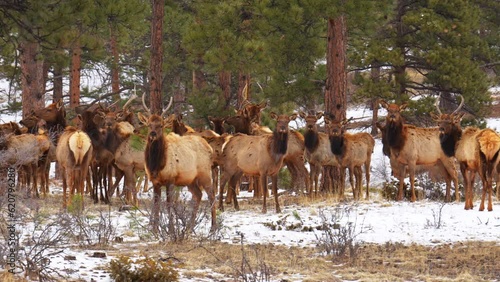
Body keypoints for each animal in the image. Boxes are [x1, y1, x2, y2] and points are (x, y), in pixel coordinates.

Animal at [138, 96, 216, 232]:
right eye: (149, 124)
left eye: (161, 125)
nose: (153, 134)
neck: (157, 165)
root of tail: (209, 147)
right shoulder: (155, 182)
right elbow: (156, 205)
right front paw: (155, 230)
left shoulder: (171, 180)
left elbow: (169, 204)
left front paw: (171, 229)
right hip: (190, 180)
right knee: (198, 195)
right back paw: (189, 227)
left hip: (205, 174)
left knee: (212, 196)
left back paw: (213, 228)